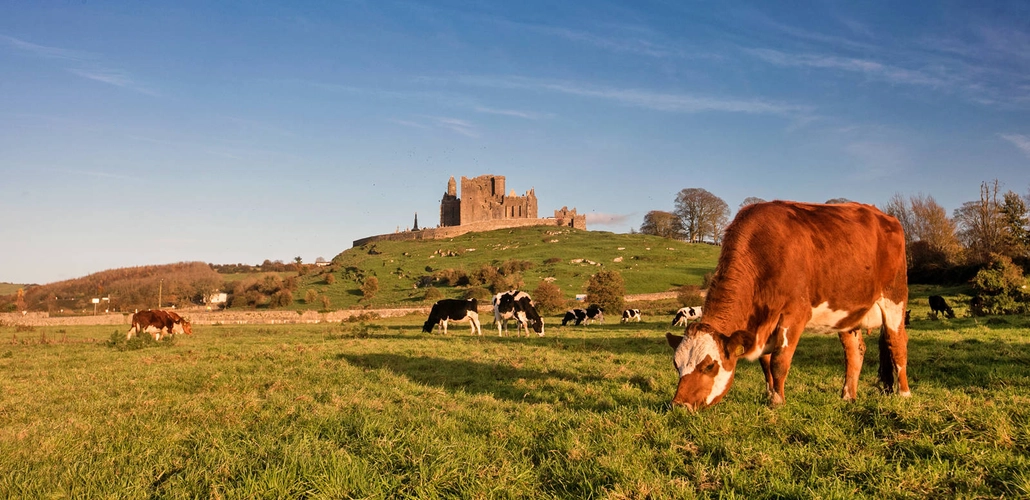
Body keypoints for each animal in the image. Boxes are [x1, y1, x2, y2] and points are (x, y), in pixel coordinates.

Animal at [667, 201, 910, 410]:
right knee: (855, 351)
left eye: (709, 366)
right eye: (676, 364)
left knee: (896, 342)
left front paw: (777, 401)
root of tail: (885, 216)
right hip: (848, 312)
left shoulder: (794, 314)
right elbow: (765, 362)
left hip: (894, 297)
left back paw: (904, 393)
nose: (679, 405)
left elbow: (778, 362)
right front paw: (769, 393)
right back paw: (848, 395)